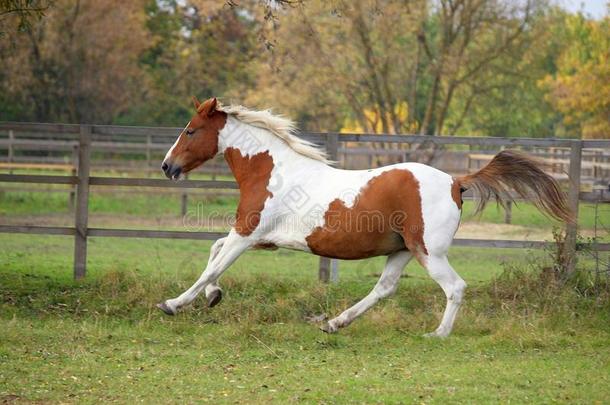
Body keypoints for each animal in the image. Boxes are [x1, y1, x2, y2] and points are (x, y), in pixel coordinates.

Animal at [156, 96, 568, 336]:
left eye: (190, 130)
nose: (166, 166)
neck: (273, 171)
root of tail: (456, 181)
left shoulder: (247, 233)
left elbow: (212, 264)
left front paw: (173, 304)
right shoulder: (261, 238)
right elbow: (214, 252)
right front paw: (213, 297)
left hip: (429, 252)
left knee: (455, 287)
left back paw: (437, 334)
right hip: (401, 251)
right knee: (385, 288)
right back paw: (335, 323)